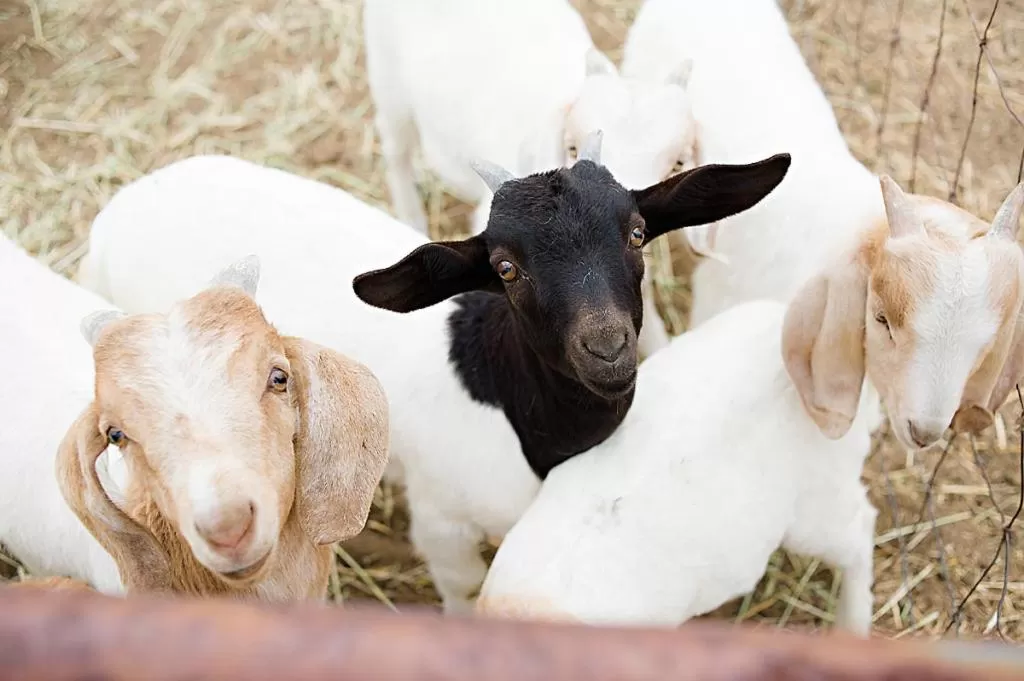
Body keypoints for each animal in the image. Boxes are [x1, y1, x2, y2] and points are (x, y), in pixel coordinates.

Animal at [76, 147, 791, 611]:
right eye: (505, 268)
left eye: (638, 233)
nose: (608, 348)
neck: (502, 396)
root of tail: (116, 210)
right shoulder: (443, 518)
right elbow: (460, 585)